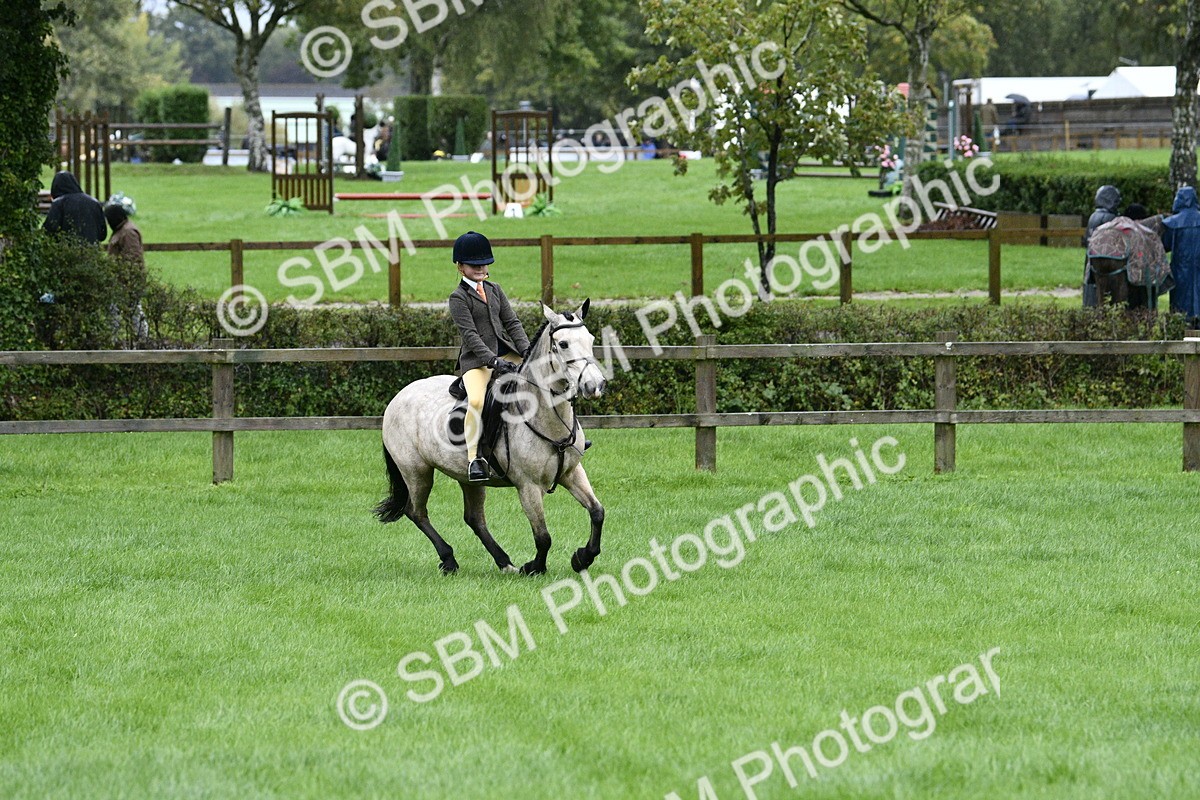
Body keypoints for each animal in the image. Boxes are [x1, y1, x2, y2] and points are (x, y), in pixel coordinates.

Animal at [375, 301, 608, 575]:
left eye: (591, 339)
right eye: (563, 344)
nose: (595, 386)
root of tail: (398, 397)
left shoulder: (572, 473)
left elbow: (597, 512)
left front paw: (583, 557)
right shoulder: (528, 486)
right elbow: (543, 536)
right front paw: (535, 567)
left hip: (467, 478)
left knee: (474, 519)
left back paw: (504, 562)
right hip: (416, 471)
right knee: (416, 512)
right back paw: (450, 559)